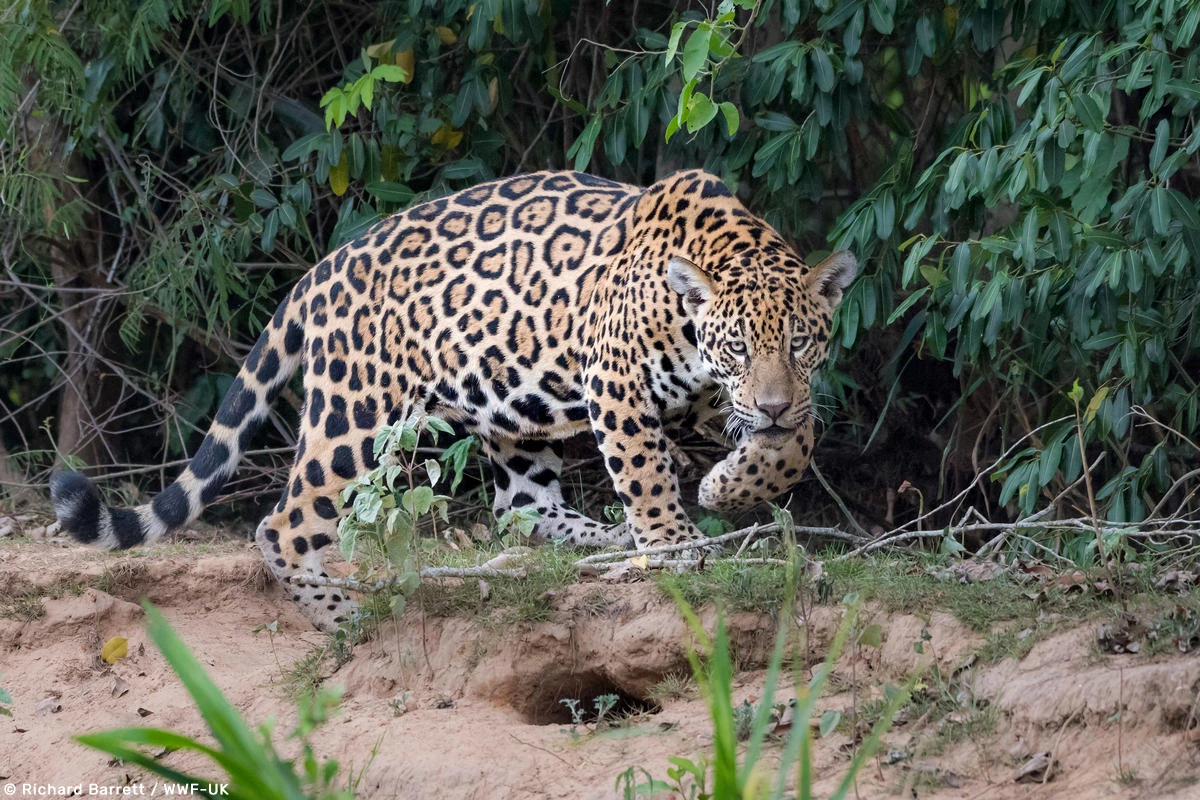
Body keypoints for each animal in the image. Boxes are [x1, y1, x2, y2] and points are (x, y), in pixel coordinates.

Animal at [51, 169, 857, 633]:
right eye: (737, 347)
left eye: (801, 344)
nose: (771, 405)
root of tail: (318, 272)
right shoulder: (618, 383)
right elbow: (647, 472)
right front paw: (674, 543)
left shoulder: (730, 400)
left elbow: (798, 443)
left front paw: (732, 482)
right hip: (355, 415)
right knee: (283, 523)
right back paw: (344, 617)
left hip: (514, 409)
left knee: (520, 508)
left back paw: (595, 537)